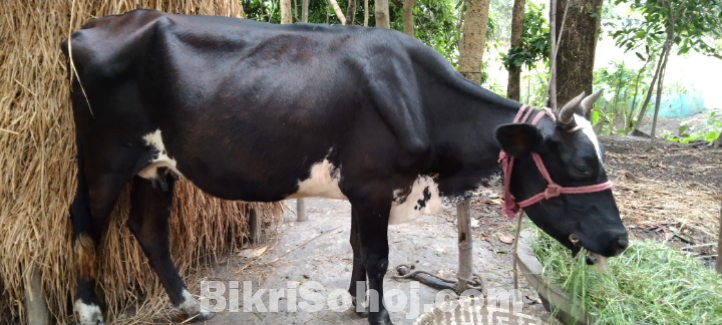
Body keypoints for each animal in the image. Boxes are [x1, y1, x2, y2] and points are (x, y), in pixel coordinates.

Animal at [60, 9, 624, 324]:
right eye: (579, 166)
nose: (620, 240)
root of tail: (91, 27)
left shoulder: (362, 188)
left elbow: (356, 246)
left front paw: (358, 304)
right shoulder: (375, 186)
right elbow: (377, 255)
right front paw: (379, 315)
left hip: (155, 165)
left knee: (147, 228)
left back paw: (190, 305)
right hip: (105, 156)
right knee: (83, 222)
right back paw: (89, 312)